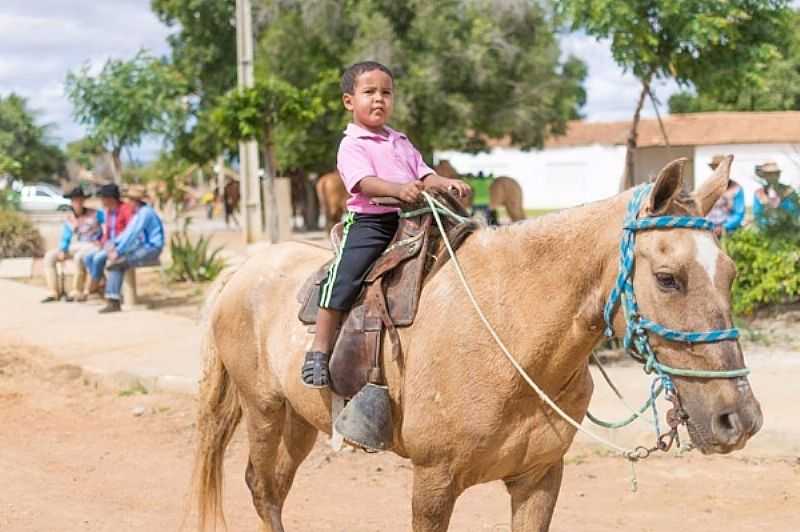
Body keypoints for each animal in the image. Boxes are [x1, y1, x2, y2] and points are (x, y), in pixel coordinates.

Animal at [192, 156, 764, 528]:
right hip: (264, 409)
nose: (739, 419)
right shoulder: (433, 485)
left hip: (300, 420)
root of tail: (242, 270)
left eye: (732, 274)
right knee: (262, 487)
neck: (511, 333)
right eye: (668, 278)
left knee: (276, 489)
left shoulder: (540, 480)